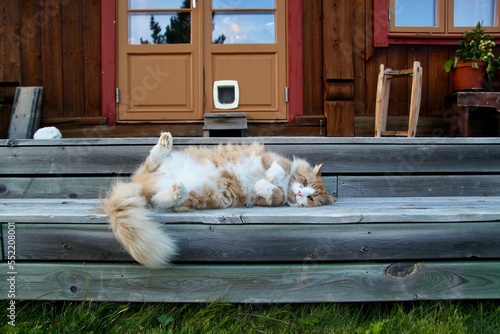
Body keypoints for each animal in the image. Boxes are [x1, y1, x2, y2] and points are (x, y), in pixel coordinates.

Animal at [101, 132, 336, 268]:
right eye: (304, 181)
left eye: (311, 198)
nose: (301, 194)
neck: (288, 186)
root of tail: (139, 185)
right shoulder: (273, 159)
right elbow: (280, 169)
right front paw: (270, 178)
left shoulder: (263, 200)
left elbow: (275, 195)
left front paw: (264, 184)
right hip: (164, 165)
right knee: (152, 161)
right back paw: (165, 143)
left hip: (194, 195)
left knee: (160, 200)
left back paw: (176, 190)